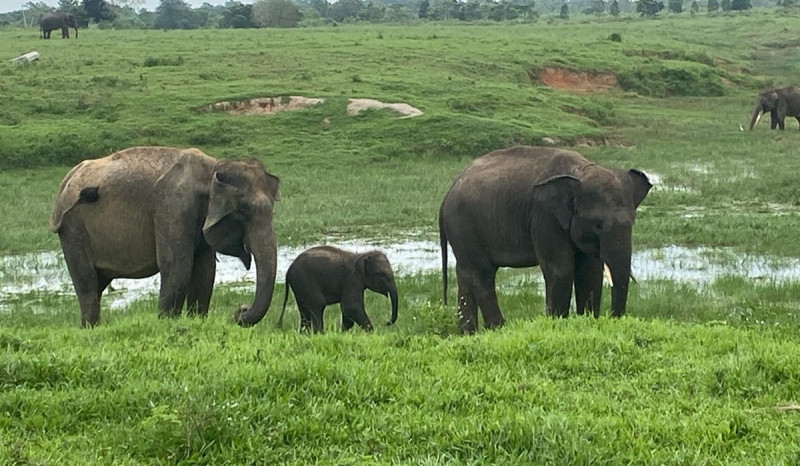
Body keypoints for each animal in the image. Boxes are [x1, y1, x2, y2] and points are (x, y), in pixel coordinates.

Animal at [50, 146, 282, 328]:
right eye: (244, 212)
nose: (240, 310)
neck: (213, 168)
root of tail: (66, 180)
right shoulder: (172, 208)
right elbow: (178, 267)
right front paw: (167, 323)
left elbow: (205, 271)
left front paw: (196, 320)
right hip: (72, 229)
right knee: (87, 282)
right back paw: (90, 327)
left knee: (97, 284)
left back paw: (89, 328)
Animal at [438, 144, 648, 334]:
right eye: (598, 225)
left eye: (633, 222)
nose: (613, 318)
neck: (581, 171)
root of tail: (447, 194)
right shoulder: (544, 215)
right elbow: (560, 270)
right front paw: (558, 325)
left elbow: (590, 271)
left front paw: (587, 321)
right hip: (463, 224)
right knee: (481, 273)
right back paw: (498, 328)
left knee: (466, 273)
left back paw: (467, 334)